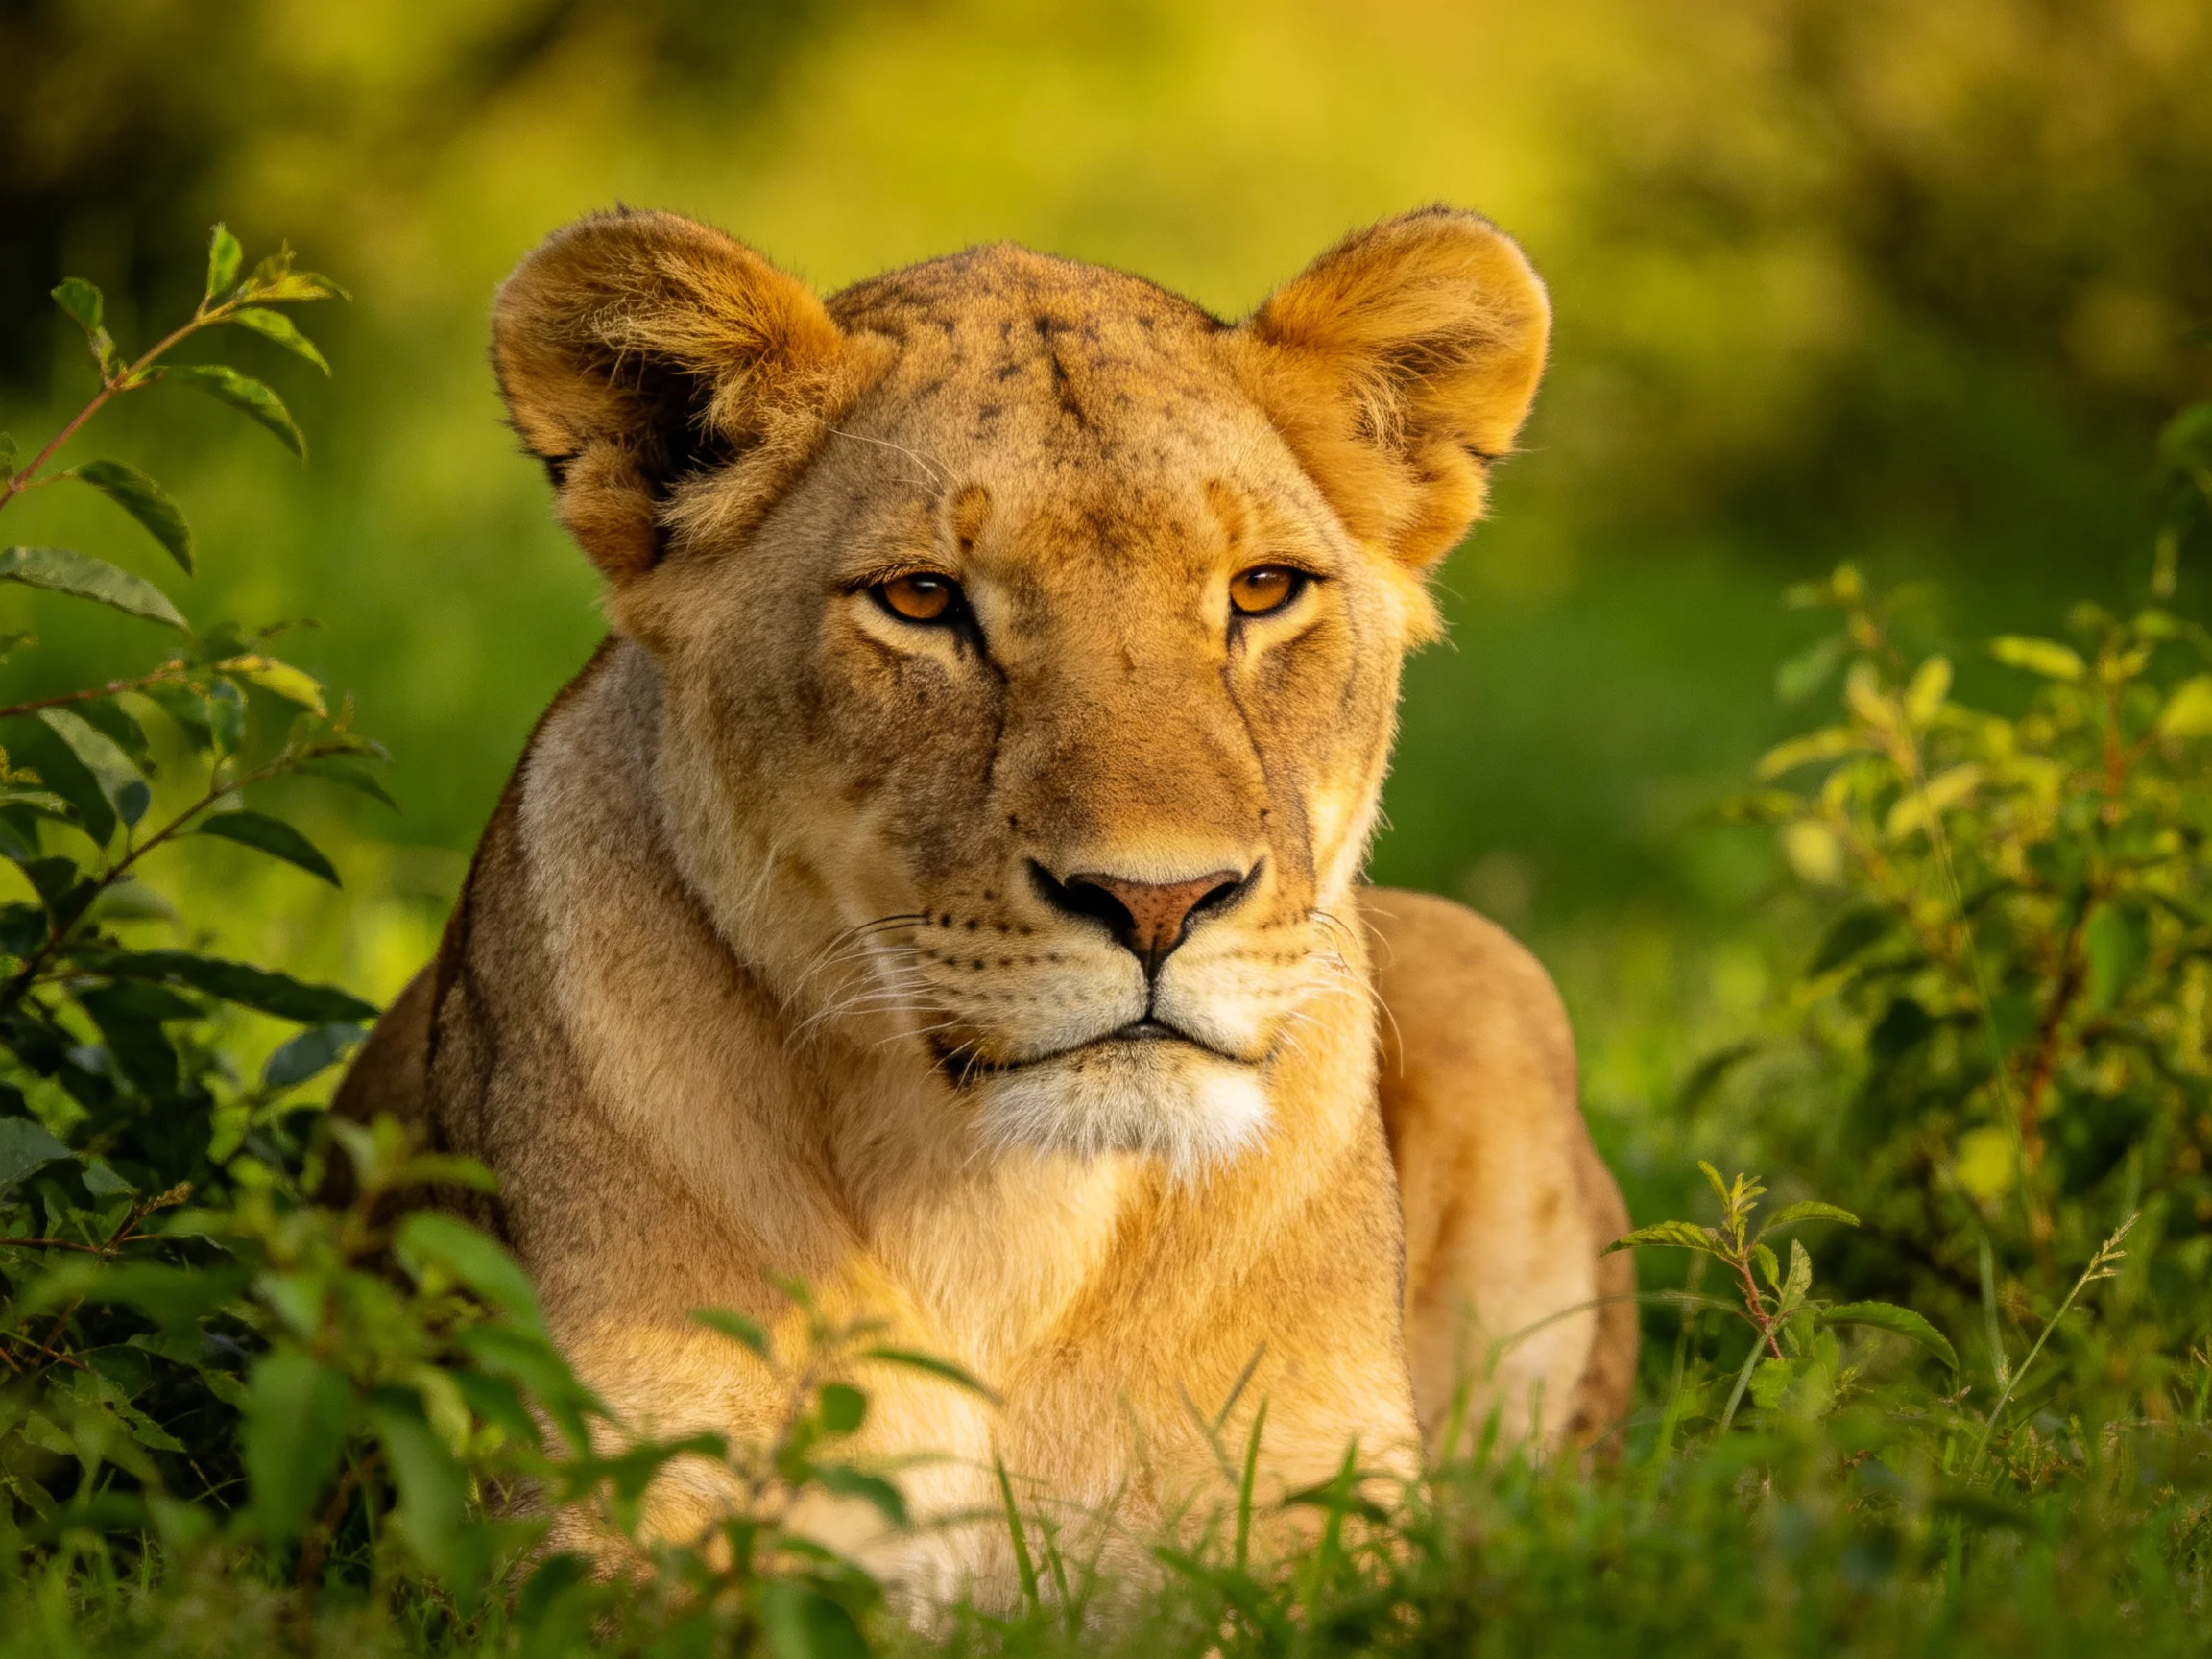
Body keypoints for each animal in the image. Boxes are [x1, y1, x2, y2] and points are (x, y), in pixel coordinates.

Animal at [335, 204, 1636, 1592]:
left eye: (1263, 589)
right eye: (921, 600)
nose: (1158, 901)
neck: (1004, 1216)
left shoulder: (1330, 1513)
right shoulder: (589, 1520)